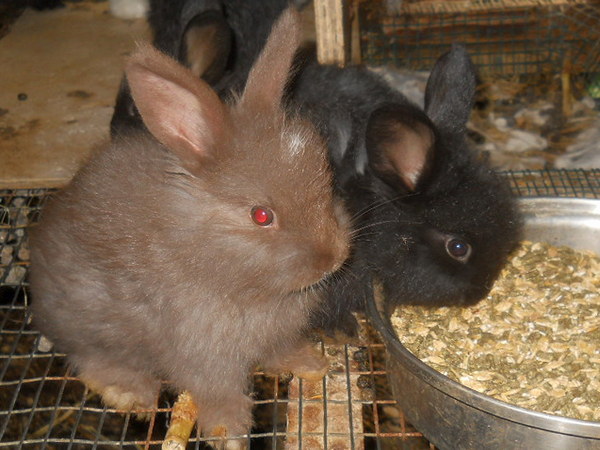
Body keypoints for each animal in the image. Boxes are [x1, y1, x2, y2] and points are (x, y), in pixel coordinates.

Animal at [28, 8, 350, 448]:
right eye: (261, 216)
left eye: (328, 183)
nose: (332, 259)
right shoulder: (203, 356)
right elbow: (220, 393)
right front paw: (229, 435)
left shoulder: (275, 336)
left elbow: (280, 351)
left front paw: (311, 364)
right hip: (86, 322)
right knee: (90, 359)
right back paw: (132, 393)